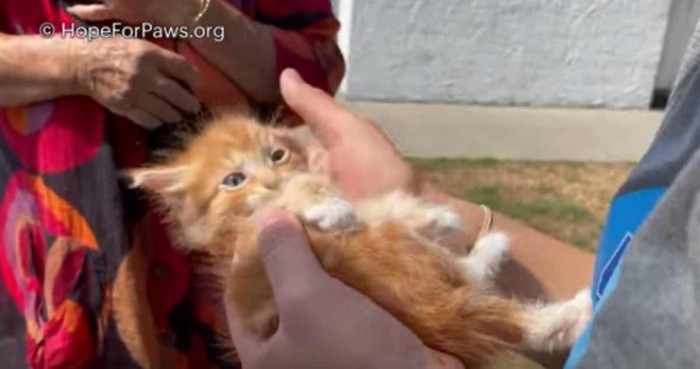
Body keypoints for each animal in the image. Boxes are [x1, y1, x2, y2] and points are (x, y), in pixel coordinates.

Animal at [123, 113, 588, 366]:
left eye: (276, 154)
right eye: (233, 180)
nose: (271, 178)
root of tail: (430, 316)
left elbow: (379, 206)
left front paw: (438, 215)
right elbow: (305, 197)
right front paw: (327, 204)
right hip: (397, 259)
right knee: (491, 298)